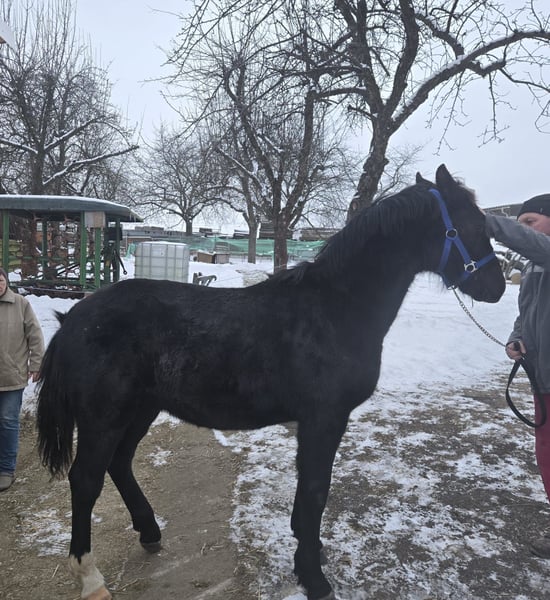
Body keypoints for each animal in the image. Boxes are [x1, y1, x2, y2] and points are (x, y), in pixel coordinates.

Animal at [36, 165, 505, 600]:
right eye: (474, 226)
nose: (497, 287)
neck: (336, 309)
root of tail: (72, 319)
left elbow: (308, 496)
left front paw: (308, 553)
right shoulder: (324, 419)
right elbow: (315, 490)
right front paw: (314, 577)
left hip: (141, 409)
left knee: (119, 463)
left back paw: (150, 532)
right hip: (104, 417)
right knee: (86, 480)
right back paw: (90, 577)